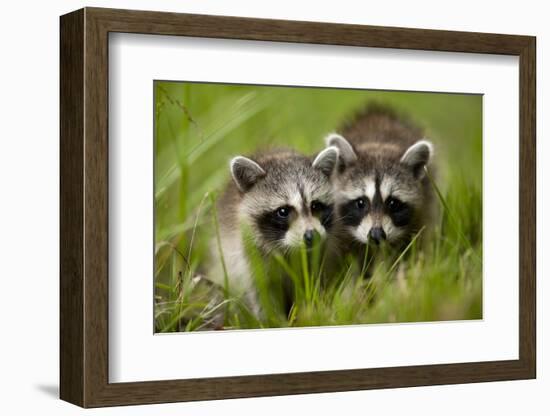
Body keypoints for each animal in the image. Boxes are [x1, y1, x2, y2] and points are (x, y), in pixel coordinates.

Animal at [211, 148, 340, 314]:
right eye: (283, 211)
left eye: (315, 206)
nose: (312, 236)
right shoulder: (249, 258)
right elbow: (262, 295)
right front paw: (272, 318)